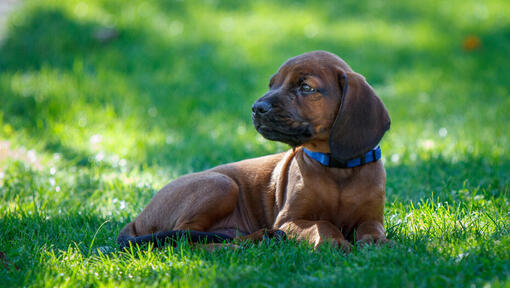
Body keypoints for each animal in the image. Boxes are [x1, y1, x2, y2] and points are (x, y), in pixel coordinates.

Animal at [118, 50, 390, 250]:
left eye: (306, 87)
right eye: (272, 84)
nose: (257, 108)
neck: (336, 168)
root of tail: (137, 218)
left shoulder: (371, 217)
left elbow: (371, 229)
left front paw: (377, 242)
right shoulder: (288, 219)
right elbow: (322, 224)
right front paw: (334, 242)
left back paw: (260, 237)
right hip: (221, 184)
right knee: (183, 237)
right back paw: (238, 246)